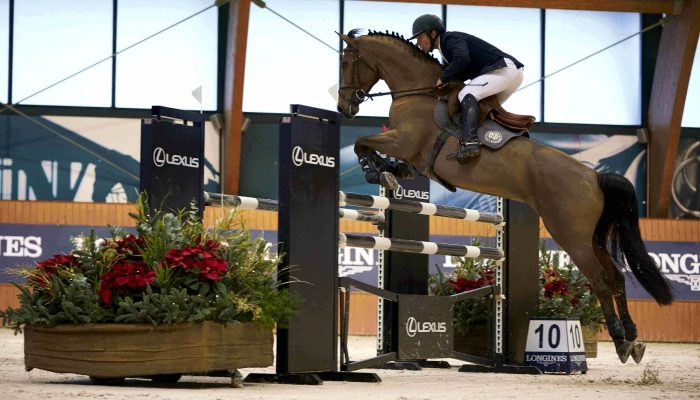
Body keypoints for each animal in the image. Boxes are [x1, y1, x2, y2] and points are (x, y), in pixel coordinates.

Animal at [336, 29, 676, 364]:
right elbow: (375, 150)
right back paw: (633, 340)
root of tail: (594, 176)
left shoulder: (404, 141)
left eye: (345, 63)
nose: (343, 108)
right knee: (616, 278)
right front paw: (390, 171)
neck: (418, 92)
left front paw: (378, 172)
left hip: (571, 236)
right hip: (593, 237)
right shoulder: (409, 151)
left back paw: (620, 340)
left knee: (601, 279)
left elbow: (362, 141)